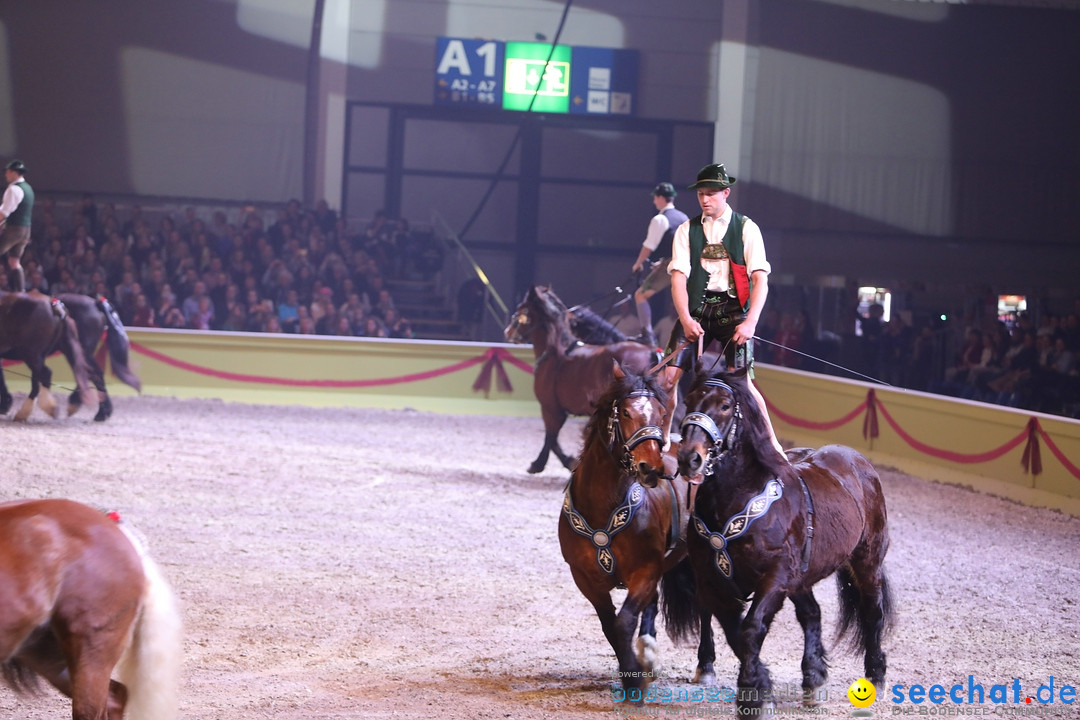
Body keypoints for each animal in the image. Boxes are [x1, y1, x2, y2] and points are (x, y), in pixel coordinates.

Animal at [503, 284, 656, 474]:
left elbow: (551, 437)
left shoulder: (551, 408)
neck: (556, 353)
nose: (507, 332)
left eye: (521, 309)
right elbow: (552, 437)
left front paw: (543, 463)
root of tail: (650, 350)